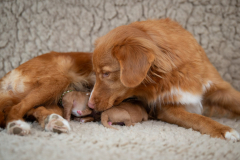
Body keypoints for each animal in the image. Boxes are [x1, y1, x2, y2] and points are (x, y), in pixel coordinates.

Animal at [88, 18, 240, 141]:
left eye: (106, 73)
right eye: (95, 73)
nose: (89, 105)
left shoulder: (219, 88)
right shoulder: (166, 108)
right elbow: (197, 118)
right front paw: (224, 130)